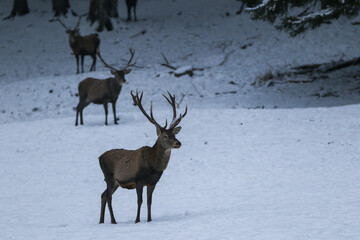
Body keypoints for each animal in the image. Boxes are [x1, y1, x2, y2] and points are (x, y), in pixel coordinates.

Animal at [99, 90, 188, 223]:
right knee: (108, 196)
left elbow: (149, 201)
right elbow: (139, 201)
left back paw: (101, 221)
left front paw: (149, 220)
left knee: (103, 194)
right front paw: (137, 220)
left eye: (174, 134)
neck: (153, 166)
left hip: (115, 182)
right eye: (165, 136)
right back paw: (113, 221)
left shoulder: (153, 182)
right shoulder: (138, 179)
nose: (178, 143)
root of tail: (99, 157)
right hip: (109, 176)